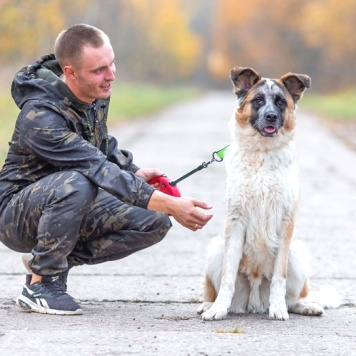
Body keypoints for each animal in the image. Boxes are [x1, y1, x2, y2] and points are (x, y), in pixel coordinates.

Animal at [197, 66, 340, 320]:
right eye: (259, 101)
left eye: (281, 102)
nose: (271, 116)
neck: (262, 153)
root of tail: (254, 299)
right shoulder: (236, 221)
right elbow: (227, 277)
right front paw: (218, 310)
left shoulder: (285, 223)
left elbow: (279, 278)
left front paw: (277, 308)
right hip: (216, 248)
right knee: (218, 286)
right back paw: (209, 304)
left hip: (297, 251)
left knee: (294, 297)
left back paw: (304, 306)